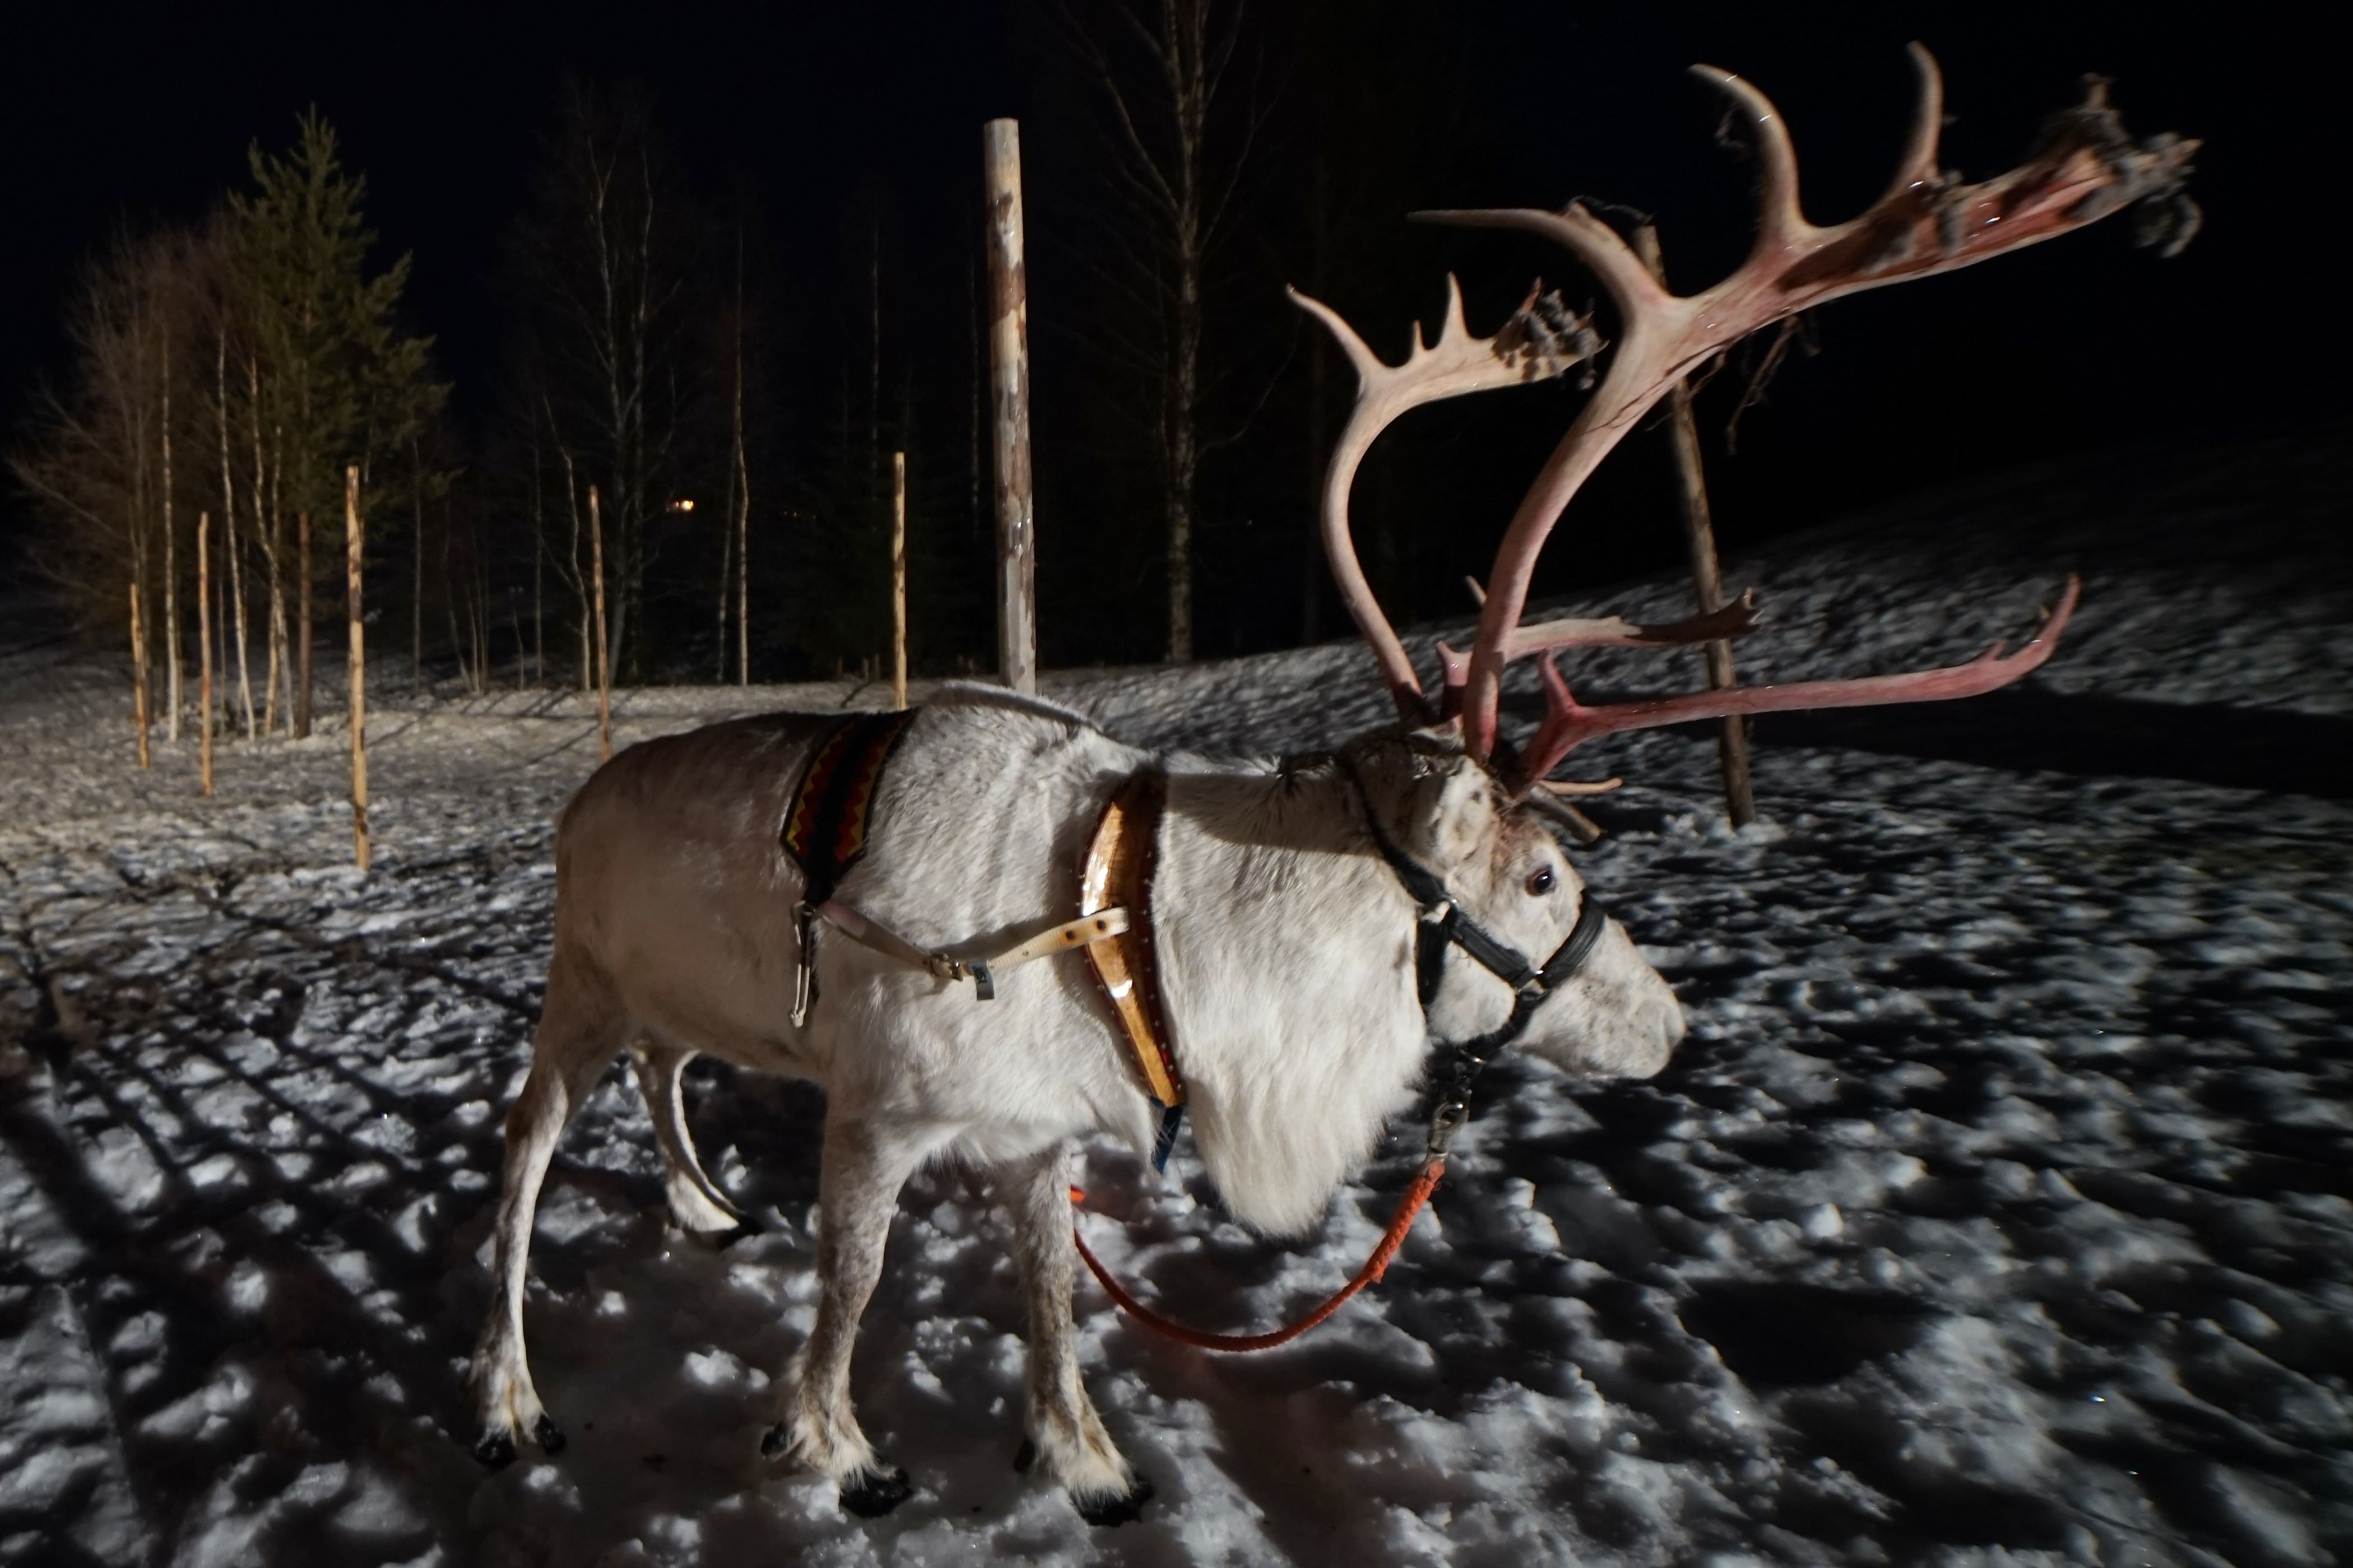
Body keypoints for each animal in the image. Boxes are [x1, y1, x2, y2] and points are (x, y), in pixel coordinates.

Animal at [469, 49, 2194, 1526]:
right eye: (1545, 874)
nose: (1670, 1024)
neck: (1141, 929)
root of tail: (579, 798)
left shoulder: (1033, 1135)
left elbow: (1050, 1301)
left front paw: (1083, 1458)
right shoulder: (882, 1114)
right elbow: (846, 1296)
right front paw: (831, 1446)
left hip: (672, 996)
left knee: (667, 1069)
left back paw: (700, 1206)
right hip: (573, 986)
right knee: (526, 1159)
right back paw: (508, 1398)